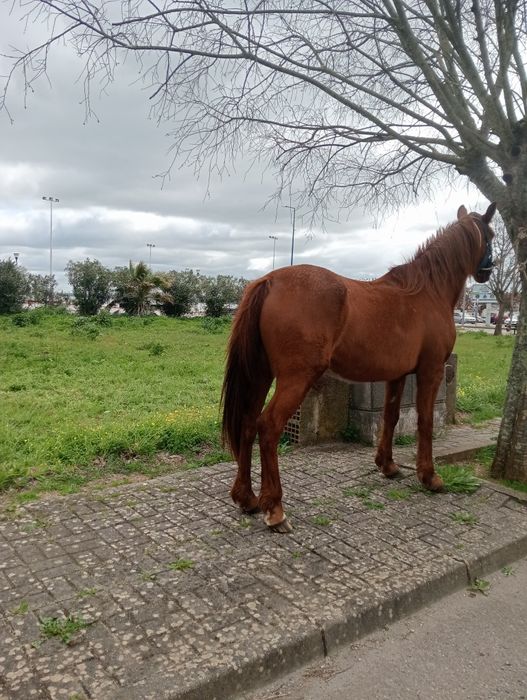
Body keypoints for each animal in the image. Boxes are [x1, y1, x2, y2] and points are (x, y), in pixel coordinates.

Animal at [221, 203, 496, 533]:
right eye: (491, 235)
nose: (487, 271)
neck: (428, 292)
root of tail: (270, 281)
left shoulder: (397, 376)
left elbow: (391, 418)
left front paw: (388, 466)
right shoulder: (431, 371)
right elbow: (425, 422)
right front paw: (429, 477)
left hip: (261, 375)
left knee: (248, 424)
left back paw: (247, 498)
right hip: (295, 379)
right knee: (269, 426)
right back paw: (274, 509)